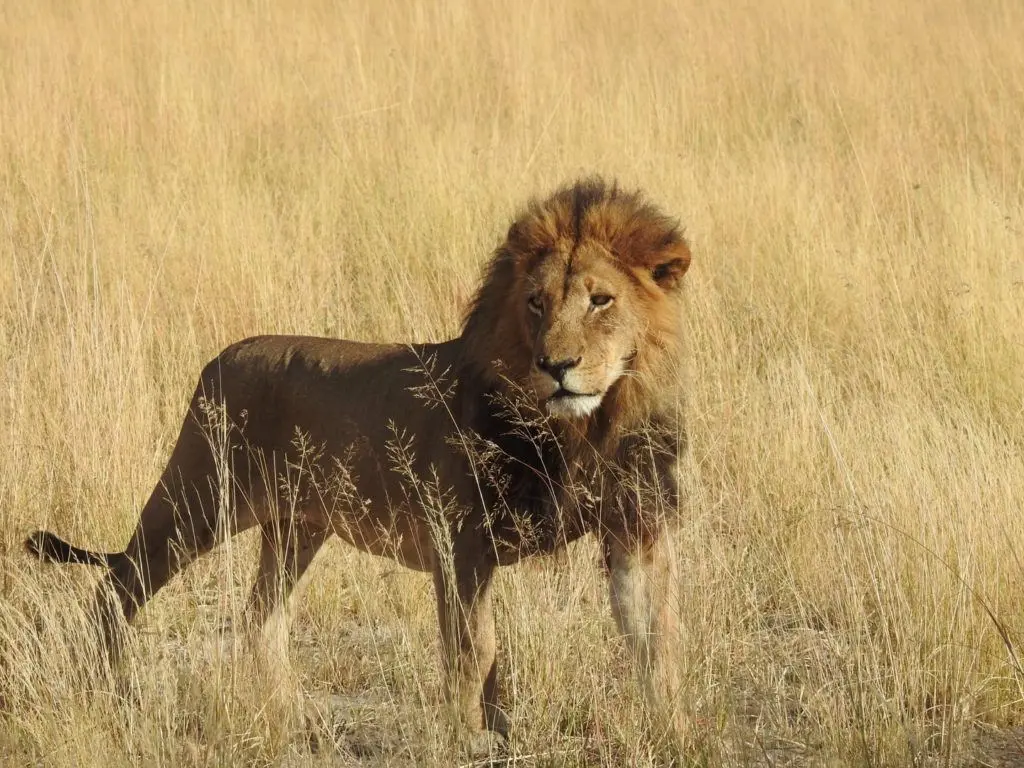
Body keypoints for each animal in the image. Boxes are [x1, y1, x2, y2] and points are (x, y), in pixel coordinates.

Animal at [24, 177, 692, 753]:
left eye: (601, 300)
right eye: (535, 303)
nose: (557, 365)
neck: (585, 429)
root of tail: (221, 359)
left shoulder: (636, 528)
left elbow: (656, 638)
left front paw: (672, 729)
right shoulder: (460, 541)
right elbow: (472, 651)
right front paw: (465, 739)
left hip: (295, 529)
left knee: (261, 620)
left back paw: (289, 718)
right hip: (197, 500)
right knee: (118, 587)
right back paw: (109, 693)